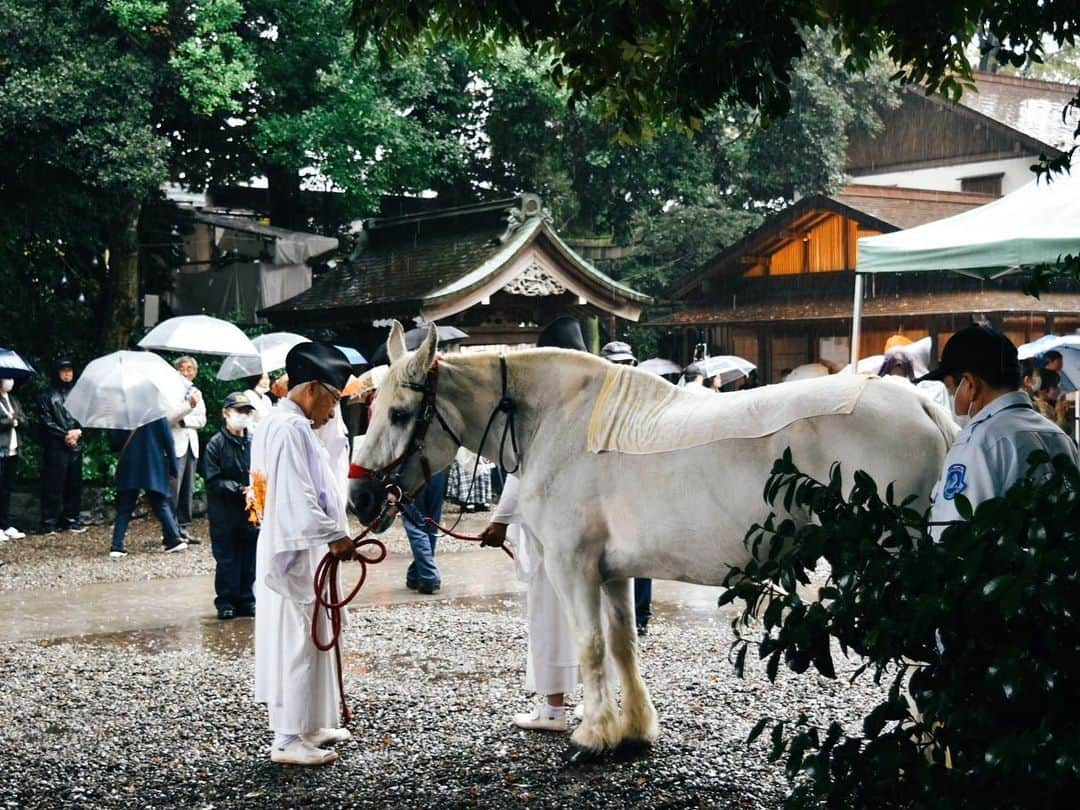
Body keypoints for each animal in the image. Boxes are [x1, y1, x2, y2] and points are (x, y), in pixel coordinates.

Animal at [352, 321, 954, 760]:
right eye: (372, 409)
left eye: (400, 414)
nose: (359, 498)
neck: (555, 421)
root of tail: (921, 406)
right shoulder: (614, 572)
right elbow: (623, 645)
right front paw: (633, 731)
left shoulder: (572, 567)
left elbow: (591, 647)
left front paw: (592, 737)